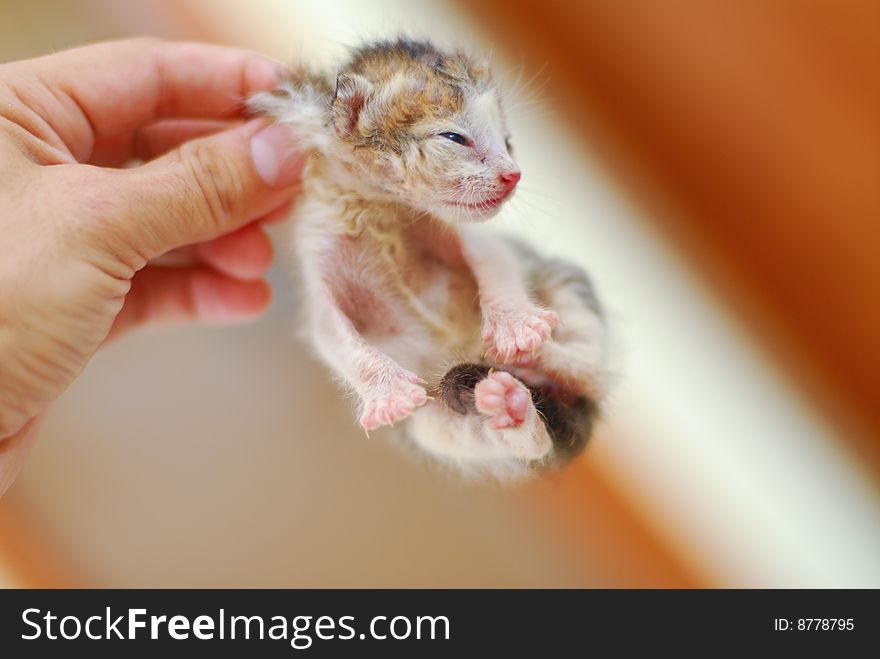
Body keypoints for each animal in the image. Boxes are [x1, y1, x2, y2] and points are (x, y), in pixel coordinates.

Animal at [248, 38, 604, 476]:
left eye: (508, 143)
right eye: (456, 137)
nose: (513, 175)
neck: (379, 206)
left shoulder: (465, 233)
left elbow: (495, 260)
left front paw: (517, 328)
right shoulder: (320, 250)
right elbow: (331, 332)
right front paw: (389, 395)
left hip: (564, 281)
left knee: (592, 371)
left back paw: (531, 354)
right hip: (437, 425)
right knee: (524, 439)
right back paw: (510, 405)